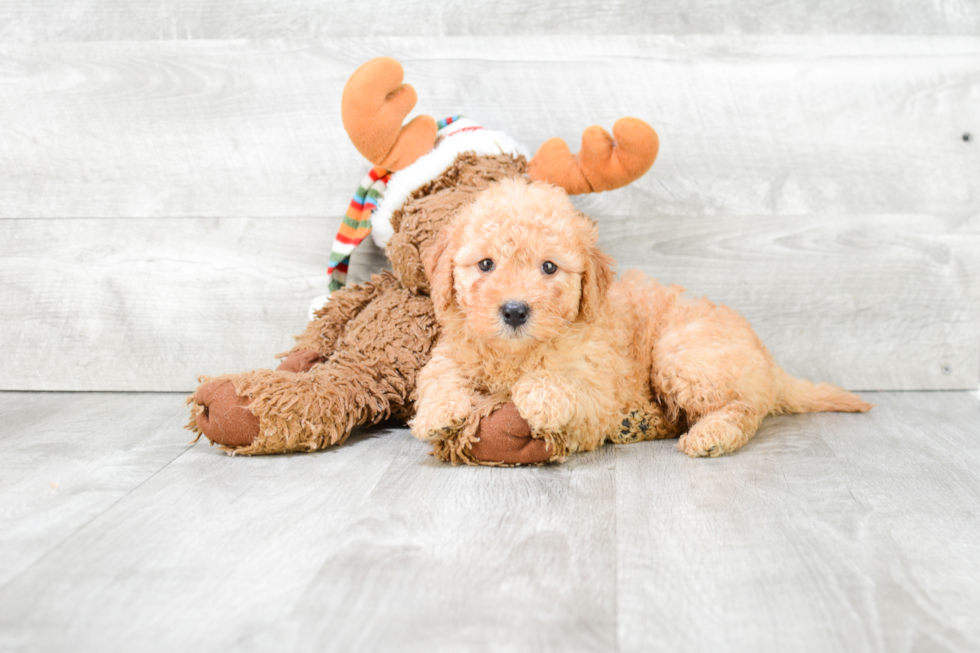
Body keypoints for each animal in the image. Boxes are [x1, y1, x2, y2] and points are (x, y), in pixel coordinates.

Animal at [410, 178, 868, 460]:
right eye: (486, 264)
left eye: (549, 268)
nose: (515, 310)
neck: (516, 354)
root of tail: (769, 364)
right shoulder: (454, 349)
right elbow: (438, 375)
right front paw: (437, 414)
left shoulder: (597, 390)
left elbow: (565, 382)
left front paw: (539, 397)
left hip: (681, 355)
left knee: (744, 408)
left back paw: (709, 435)